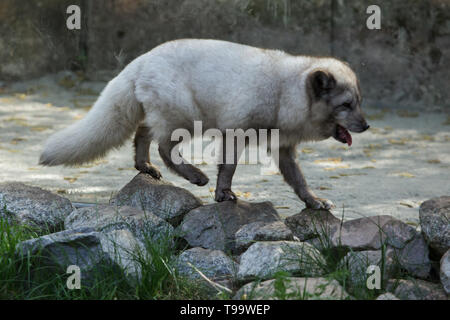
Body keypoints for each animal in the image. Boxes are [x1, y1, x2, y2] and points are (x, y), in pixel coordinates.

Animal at [39, 38, 370, 209]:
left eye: (359, 101)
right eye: (345, 105)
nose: (366, 126)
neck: (283, 93)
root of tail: (141, 60)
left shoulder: (283, 147)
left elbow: (298, 179)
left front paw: (312, 201)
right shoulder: (236, 132)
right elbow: (228, 167)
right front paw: (223, 195)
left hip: (169, 117)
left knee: (143, 132)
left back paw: (144, 167)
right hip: (188, 119)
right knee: (163, 147)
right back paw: (195, 176)